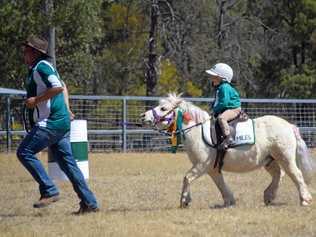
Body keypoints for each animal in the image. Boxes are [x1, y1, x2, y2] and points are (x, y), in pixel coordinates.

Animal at [141, 93, 316, 207]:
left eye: (163, 108)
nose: (143, 116)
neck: (197, 131)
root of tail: (289, 125)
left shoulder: (201, 165)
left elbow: (187, 178)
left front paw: (184, 201)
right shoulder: (212, 169)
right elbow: (221, 184)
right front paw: (229, 201)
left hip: (285, 157)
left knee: (296, 174)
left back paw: (305, 199)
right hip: (269, 160)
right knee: (278, 175)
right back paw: (269, 196)